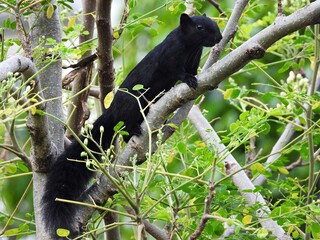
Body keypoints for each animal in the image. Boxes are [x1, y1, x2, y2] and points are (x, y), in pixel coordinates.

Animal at [43, 13, 222, 238]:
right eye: (199, 27)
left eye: (214, 24)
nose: (219, 37)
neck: (190, 47)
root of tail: (111, 113)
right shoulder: (169, 59)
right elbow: (177, 72)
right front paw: (189, 79)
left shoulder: (193, 60)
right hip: (130, 109)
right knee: (126, 128)